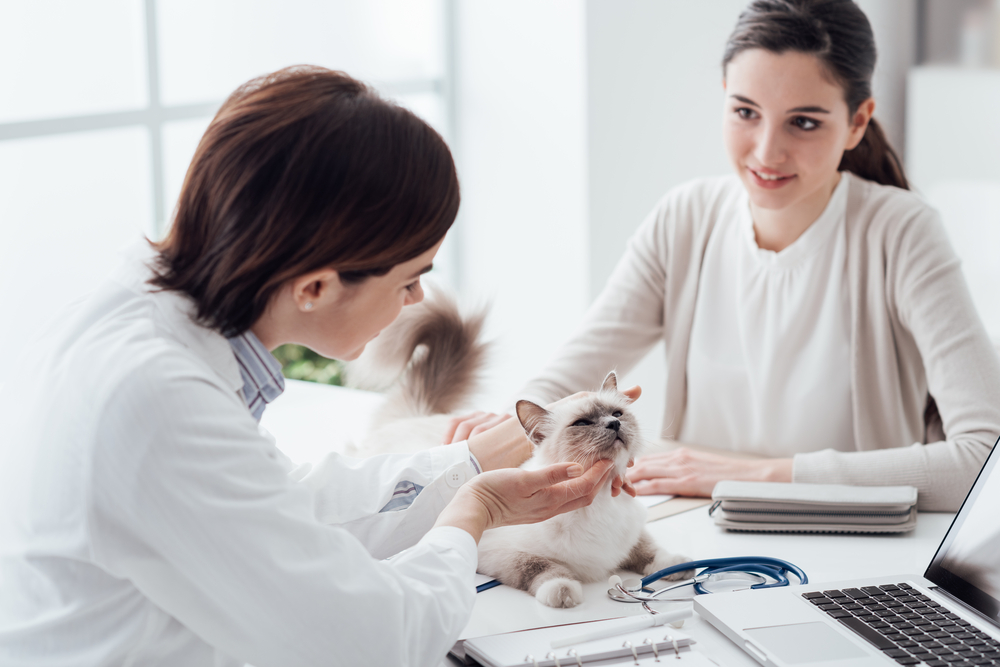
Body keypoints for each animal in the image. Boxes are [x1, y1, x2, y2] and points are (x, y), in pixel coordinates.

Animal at [344, 290, 688, 608]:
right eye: (582, 423)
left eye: (617, 414)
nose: (614, 425)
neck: (601, 499)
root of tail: (417, 416)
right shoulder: (499, 552)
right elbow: (543, 569)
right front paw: (563, 593)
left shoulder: (632, 535)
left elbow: (649, 549)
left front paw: (678, 566)